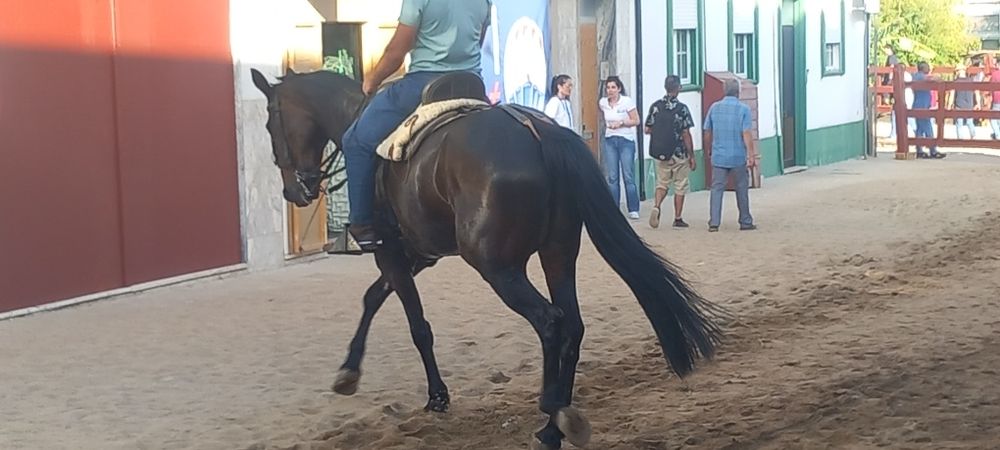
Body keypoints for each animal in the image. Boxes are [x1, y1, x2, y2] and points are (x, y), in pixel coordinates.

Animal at [250, 68, 723, 449]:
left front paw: (435, 394)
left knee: (550, 322)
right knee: (571, 323)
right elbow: (373, 298)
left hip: (497, 266)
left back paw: (551, 414)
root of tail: (537, 129)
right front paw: (350, 370)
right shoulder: (415, 254)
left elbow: (416, 325)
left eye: (271, 120)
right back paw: (555, 421)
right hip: (557, 253)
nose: (294, 190)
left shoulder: (391, 253)